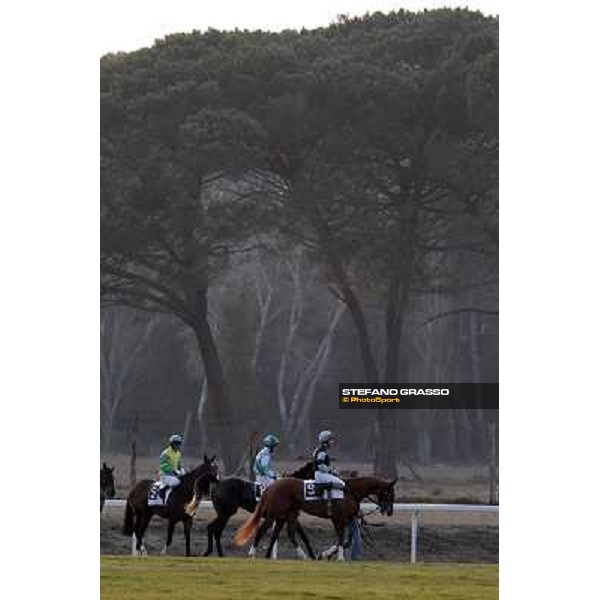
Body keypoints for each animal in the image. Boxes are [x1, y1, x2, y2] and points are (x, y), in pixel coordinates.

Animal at [186, 460, 318, 556]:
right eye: (316, 467)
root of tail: (219, 482)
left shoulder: (286, 517)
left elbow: (299, 536)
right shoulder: (285, 517)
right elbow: (301, 536)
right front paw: (312, 555)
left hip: (224, 513)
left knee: (214, 530)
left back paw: (216, 553)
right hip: (226, 513)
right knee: (214, 529)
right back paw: (213, 552)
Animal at [233, 476, 394, 560]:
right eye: (390, 494)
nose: (390, 511)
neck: (350, 491)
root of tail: (271, 487)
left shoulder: (348, 518)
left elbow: (347, 539)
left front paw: (326, 554)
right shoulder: (338, 519)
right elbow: (341, 538)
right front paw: (338, 557)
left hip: (289, 514)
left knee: (287, 533)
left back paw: (300, 555)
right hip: (274, 513)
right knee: (262, 530)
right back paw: (252, 553)